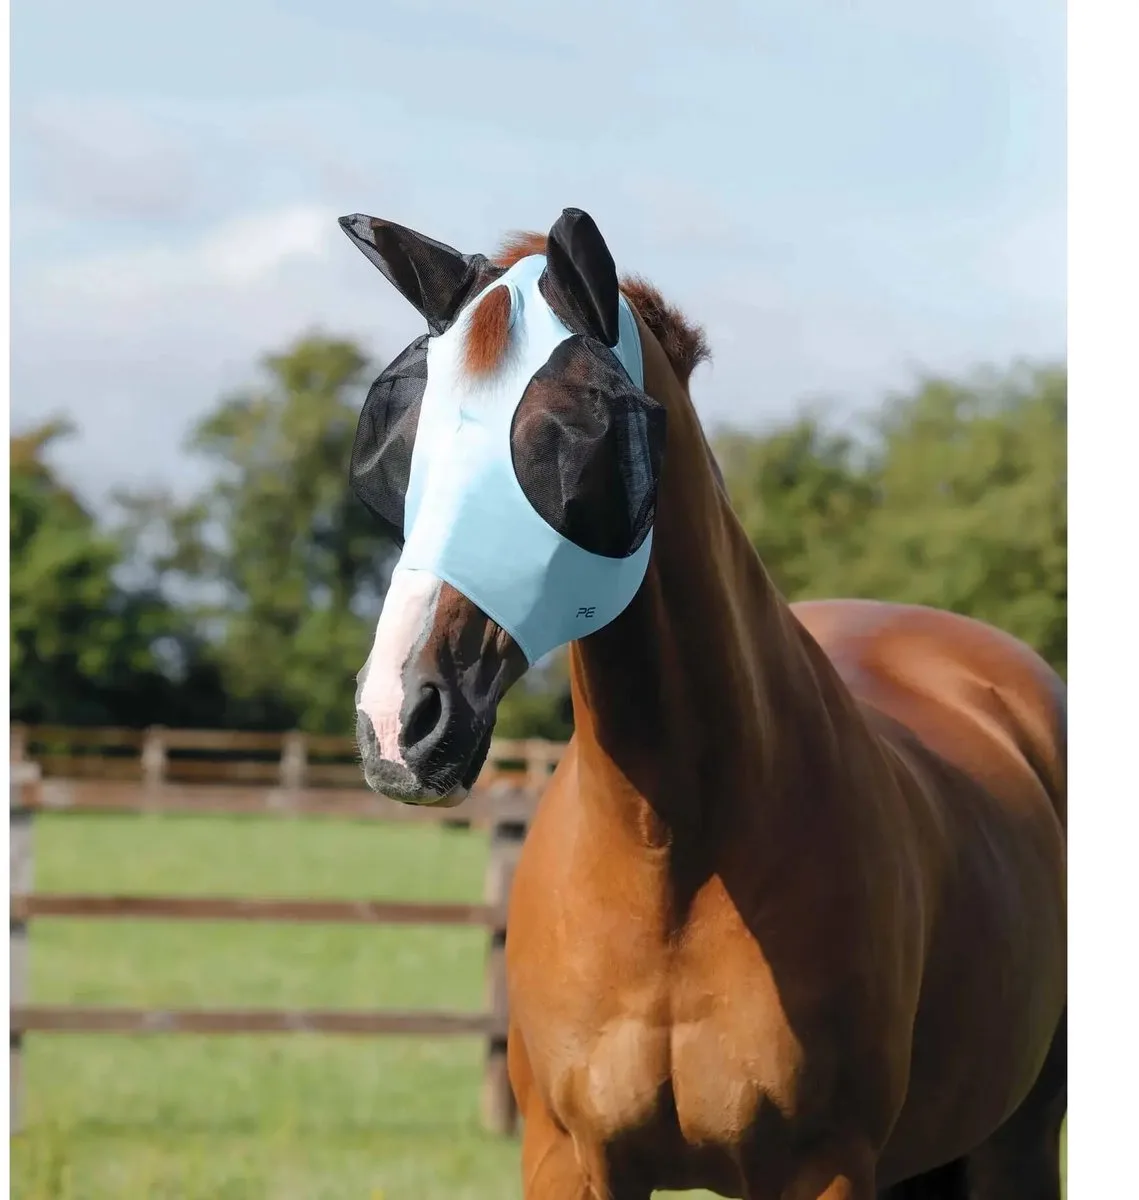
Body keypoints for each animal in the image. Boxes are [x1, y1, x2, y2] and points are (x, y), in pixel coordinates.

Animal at [343, 207, 1067, 1199]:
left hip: (1016, 1141)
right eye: (396, 442)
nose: (399, 721)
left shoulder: (822, 1168)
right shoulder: (569, 1159)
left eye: (568, 432)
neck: (670, 863)